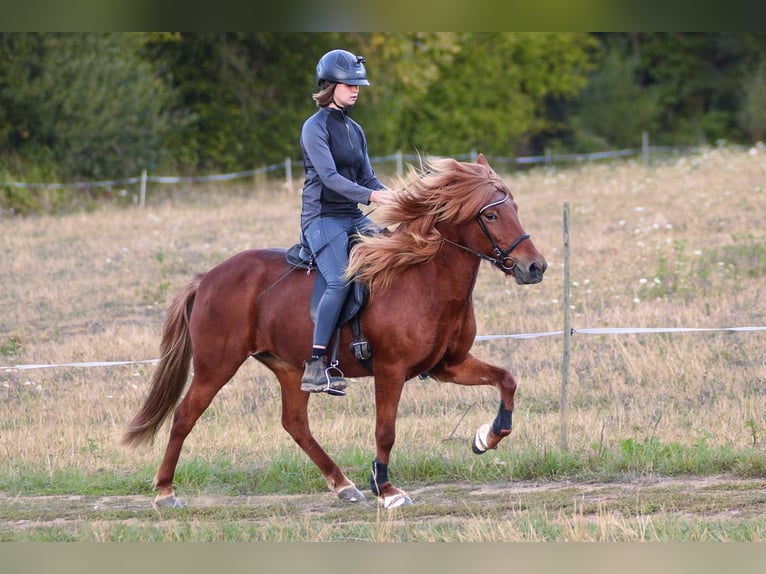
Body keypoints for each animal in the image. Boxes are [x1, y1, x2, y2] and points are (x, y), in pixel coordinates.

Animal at [121, 153, 547, 509]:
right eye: (490, 216)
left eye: (515, 208)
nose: (535, 267)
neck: (423, 279)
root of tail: (207, 277)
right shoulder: (391, 371)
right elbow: (385, 431)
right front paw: (387, 489)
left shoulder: (449, 365)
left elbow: (507, 380)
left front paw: (487, 437)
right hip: (216, 366)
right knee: (184, 417)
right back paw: (165, 492)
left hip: (290, 367)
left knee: (295, 424)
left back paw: (343, 485)